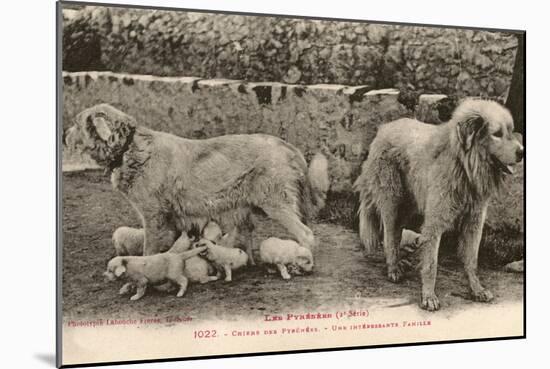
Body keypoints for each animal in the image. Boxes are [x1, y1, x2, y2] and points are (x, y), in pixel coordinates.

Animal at [67, 103, 330, 258]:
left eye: (76, 124)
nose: (64, 135)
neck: (129, 146)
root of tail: (286, 145)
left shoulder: (153, 216)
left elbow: (149, 250)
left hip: (276, 203)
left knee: (306, 234)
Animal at [358, 98, 528, 310]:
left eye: (511, 131)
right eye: (497, 134)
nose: (522, 152)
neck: (463, 164)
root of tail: (384, 128)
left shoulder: (474, 221)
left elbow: (471, 260)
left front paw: (476, 289)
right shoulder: (434, 222)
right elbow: (431, 264)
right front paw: (429, 296)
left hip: (407, 205)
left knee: (397, 233)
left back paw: (399, 263)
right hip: (392, 201)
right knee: (389, 235)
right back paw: (393, 268)